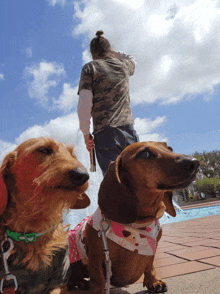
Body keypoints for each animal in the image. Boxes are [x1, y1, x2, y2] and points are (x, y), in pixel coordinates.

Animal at [67, 141, 199, 292]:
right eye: (144, 153)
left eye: (169, 148)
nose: (195, 163)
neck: (138, 225)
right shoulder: (95, 256)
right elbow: (98, 278)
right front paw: (98, 290)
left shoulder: (151, 249)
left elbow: (150, 265)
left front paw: (154, 281)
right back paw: (78, 283)